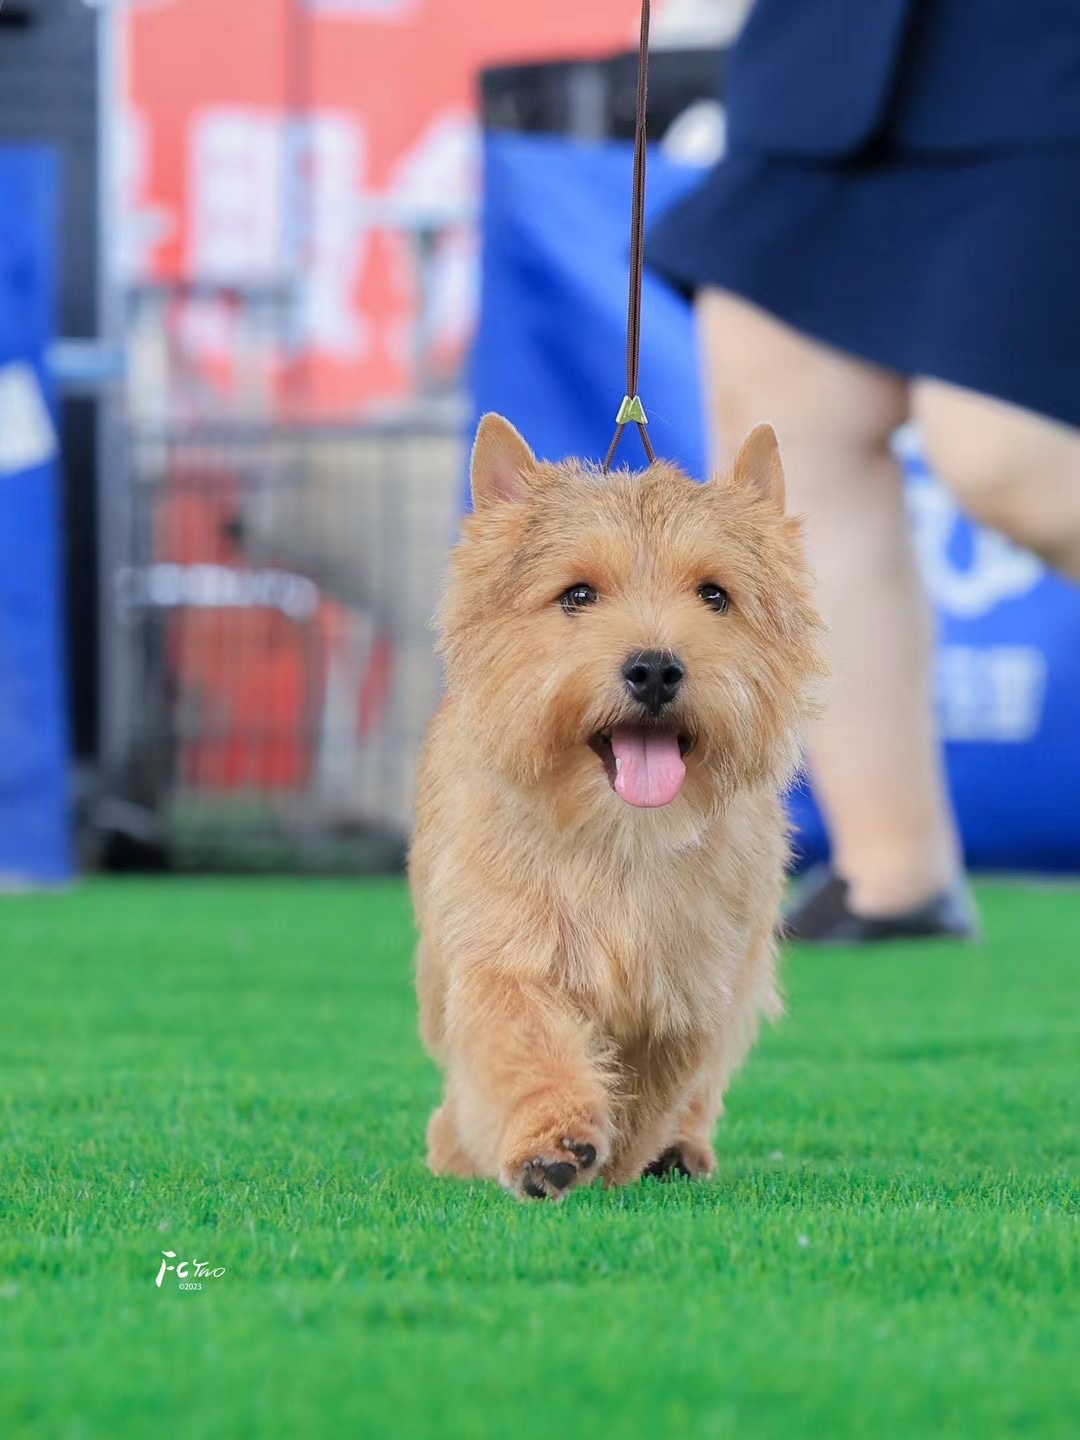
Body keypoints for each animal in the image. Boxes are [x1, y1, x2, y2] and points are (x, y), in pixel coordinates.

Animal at [408, 414, 823, 1192]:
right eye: (577, 595)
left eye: (714, 596)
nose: (655, 668)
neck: (623, 837)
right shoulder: (503, 953)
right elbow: (523, 1043)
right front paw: (551, 1141)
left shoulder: (687, 992)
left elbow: (651, 1084)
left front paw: (619, 1157)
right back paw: (456, 1146)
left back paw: (680, 1151)